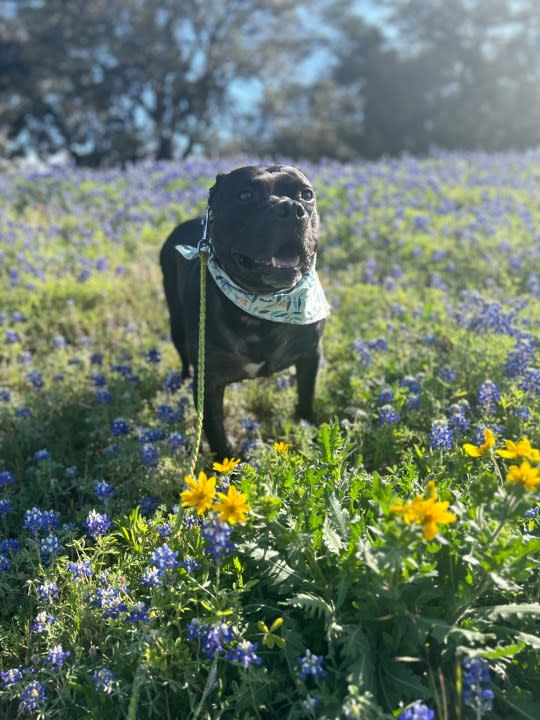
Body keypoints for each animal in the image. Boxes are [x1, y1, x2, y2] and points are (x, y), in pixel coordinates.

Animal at [159, 165, 330, 456]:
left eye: (306, 194)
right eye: (245, 195)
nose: (291, 208)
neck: (263, 310)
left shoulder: (310, 356)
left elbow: (306, 401)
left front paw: (308, 432)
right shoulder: (209, 383)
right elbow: (217, 435)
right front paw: (227, 464)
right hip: (176, 323)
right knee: (183, 356)